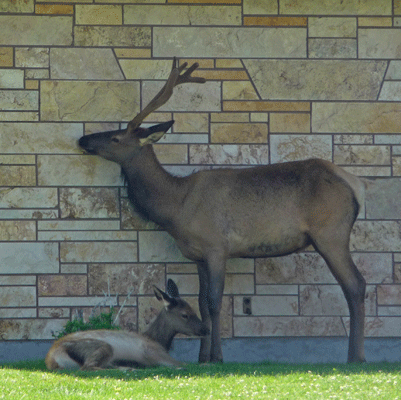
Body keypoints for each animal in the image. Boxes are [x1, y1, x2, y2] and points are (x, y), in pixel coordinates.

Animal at [45, 278, 208, 368]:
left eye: (194, 309)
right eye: (185, 314)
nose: (206, 330)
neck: (158, 340)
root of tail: (52, 359)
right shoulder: (153, 352)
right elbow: (186, 364)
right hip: (104, 346)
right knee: (87, 367)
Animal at [77, 58, 366, 362]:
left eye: (116, 137)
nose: (83, 140)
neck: (175, 207)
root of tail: (355, 184)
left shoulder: (217, 246)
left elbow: (215, 302)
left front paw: (216, 357)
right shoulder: (198, 256)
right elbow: (202, 303)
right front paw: (202, 357)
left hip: (331, 234)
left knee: (356, 286)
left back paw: (356, 357)